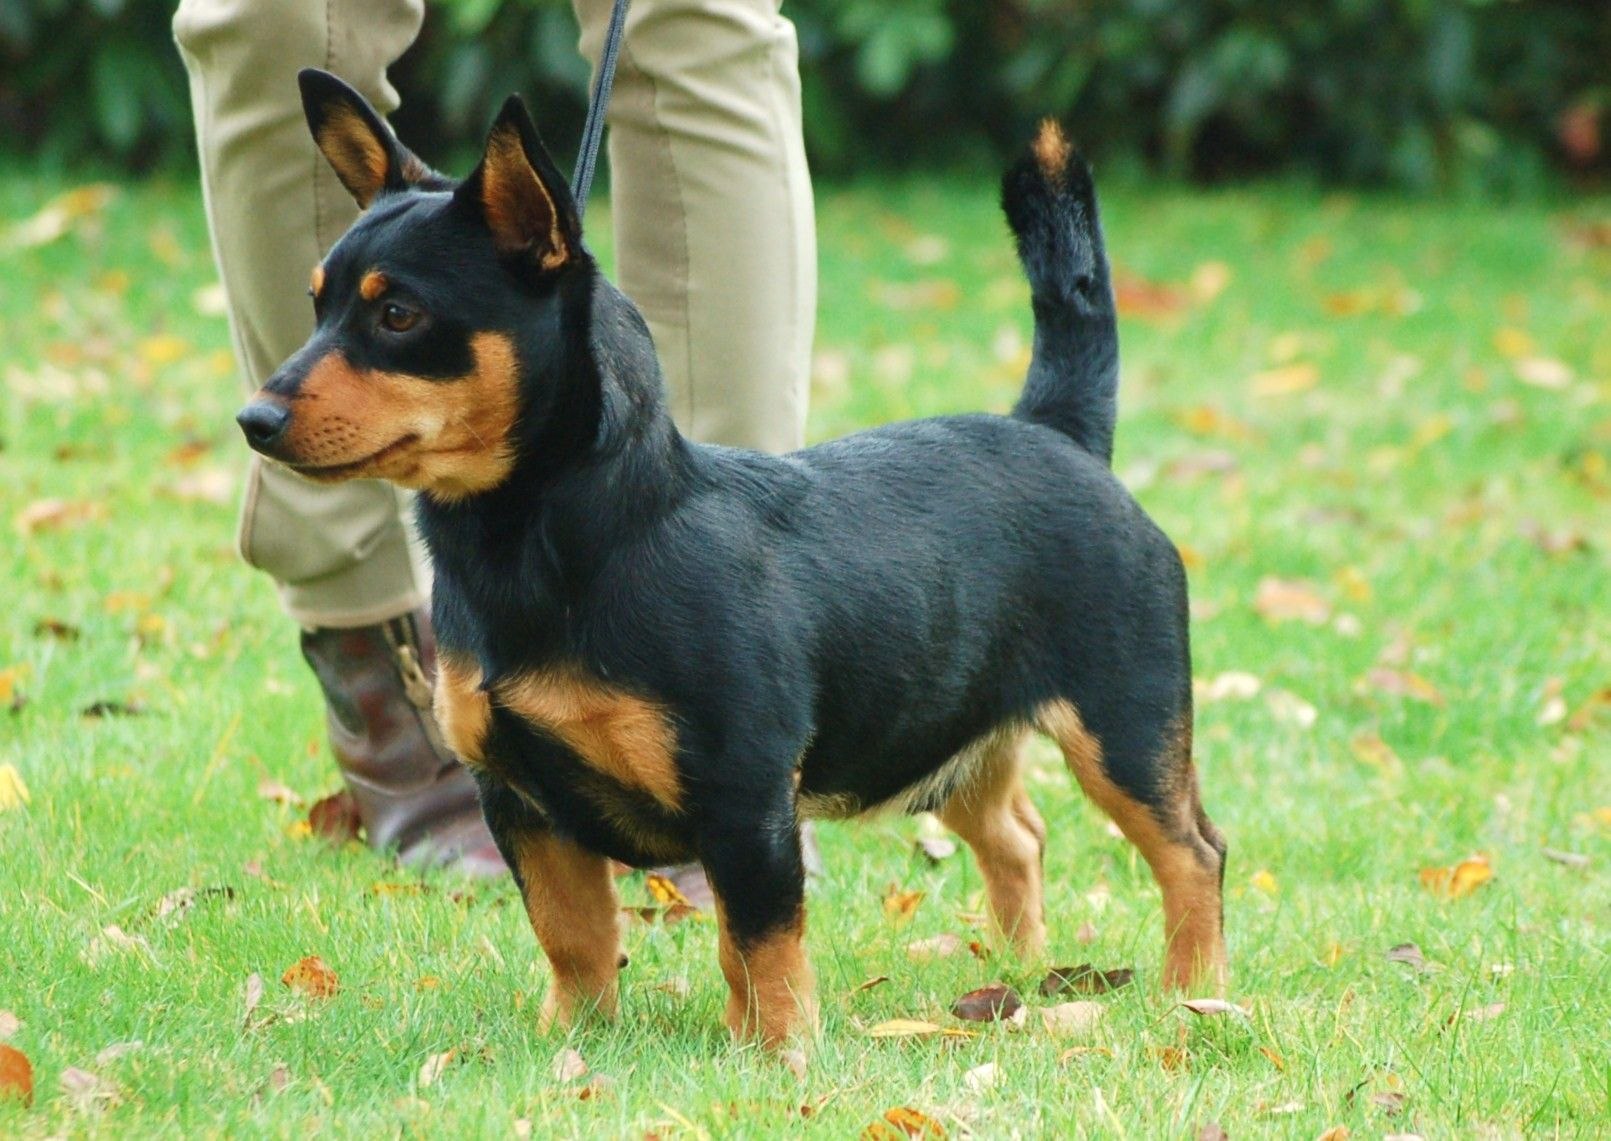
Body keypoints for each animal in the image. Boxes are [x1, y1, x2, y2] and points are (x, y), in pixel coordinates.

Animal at [235, 71, 1217, 1044]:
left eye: (398, 314)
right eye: (316, 305)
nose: (254, 418)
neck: (573, 539)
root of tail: (1056, 431)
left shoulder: (741, 798)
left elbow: (758, 940)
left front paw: (779, 1051)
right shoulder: (520, 801)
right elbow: (573, 932)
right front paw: (573, 1040)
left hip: (1123, 731)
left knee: (1192, 853)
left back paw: (1194, 994)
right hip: (951, 735)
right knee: (1018, 835)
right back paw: (1019, 967)